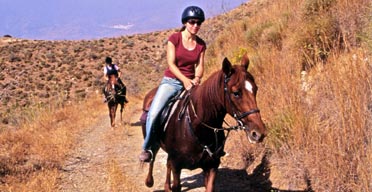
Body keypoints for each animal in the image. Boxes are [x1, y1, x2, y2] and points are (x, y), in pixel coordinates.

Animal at [142, 54, 268, 191]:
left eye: (255, 89)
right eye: (236, 93)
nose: (258, 133)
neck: (198, 128)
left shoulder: (211, 166)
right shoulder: (177, 166)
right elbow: (175, 182)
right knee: (153, 158)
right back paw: (149, 180)